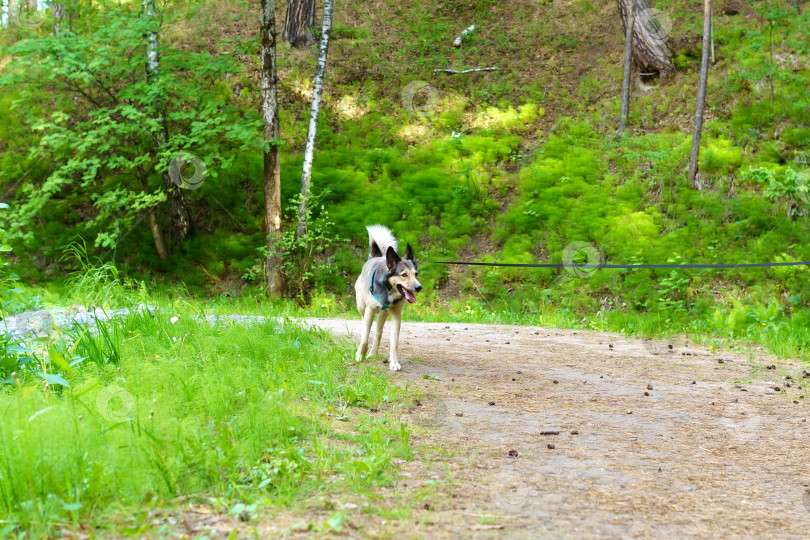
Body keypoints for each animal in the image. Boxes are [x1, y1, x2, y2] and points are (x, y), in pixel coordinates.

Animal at [354, 225, 422, 372]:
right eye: (404, 275)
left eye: (416, 274)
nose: (419, 287)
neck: (388, 289)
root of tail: (376, 257)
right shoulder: (369, 311)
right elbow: (364, 338)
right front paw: (359, 355)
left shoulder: (396, 316)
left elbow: (394, 343)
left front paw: (394, 362)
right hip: (362, 306)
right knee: (364, 324)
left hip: (382, 315)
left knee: (378, 333)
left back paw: (373, 353)